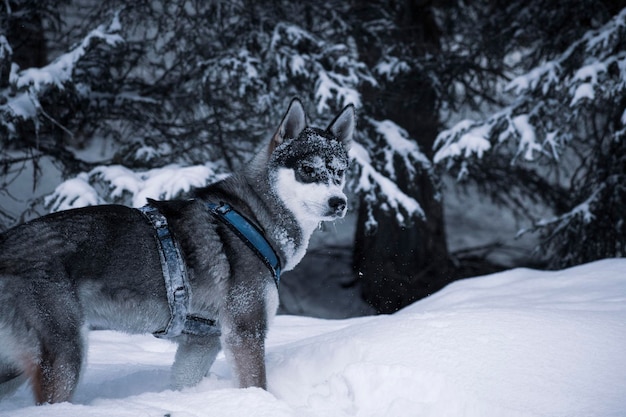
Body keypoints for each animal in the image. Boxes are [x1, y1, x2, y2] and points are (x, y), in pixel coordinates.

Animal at [0, 98, 352, 404]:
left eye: (339, 172)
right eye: (308, 170)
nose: (340, 202)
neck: (254, 217)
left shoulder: (200, 343)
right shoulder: (245, 332)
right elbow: (256, 384)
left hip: (16, 366)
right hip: (66, 354)